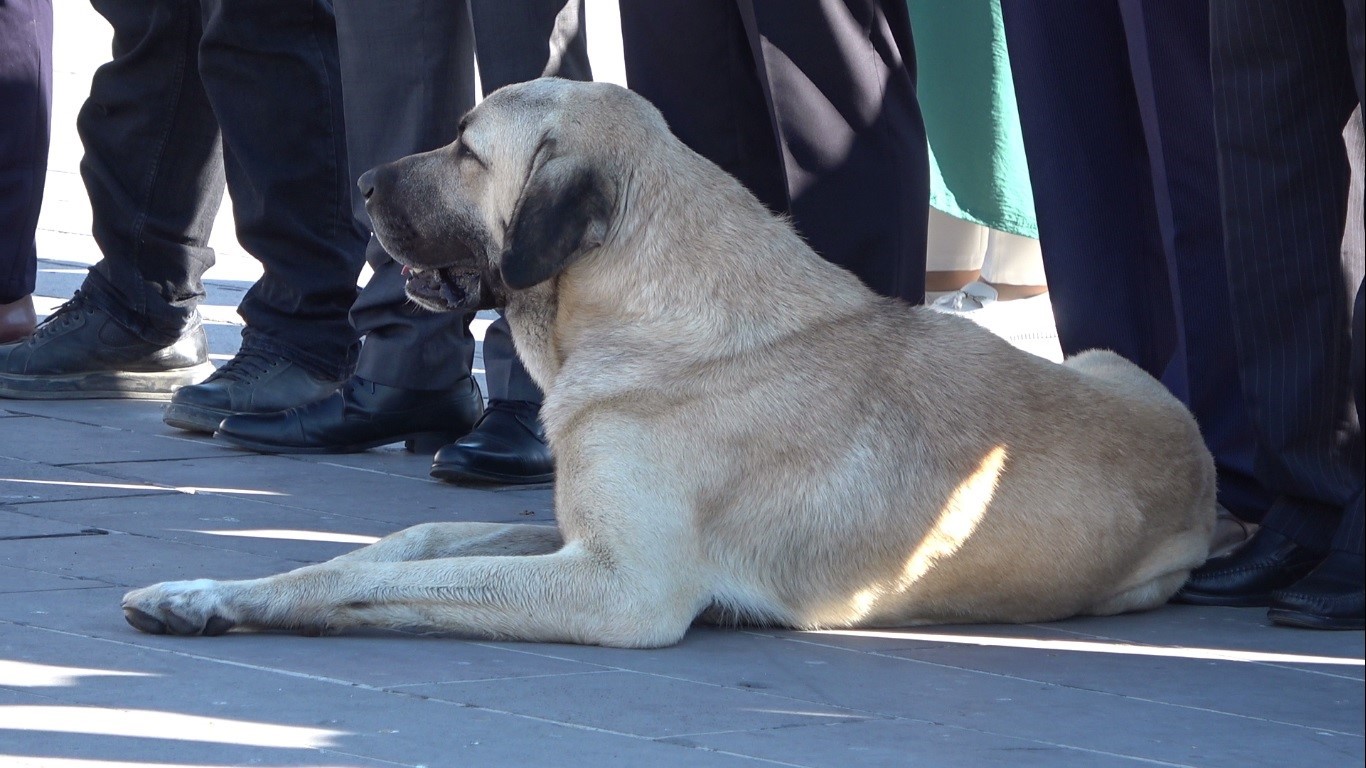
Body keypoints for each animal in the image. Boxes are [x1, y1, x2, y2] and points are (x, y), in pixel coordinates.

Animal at [120, 77, 1218, 642]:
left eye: (467, 151)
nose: (359, 183)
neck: (645, 306)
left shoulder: (622, 587)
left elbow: (369, 585)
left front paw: (230, 600)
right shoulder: (577, 535)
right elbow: (406, 543)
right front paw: (202, 590)